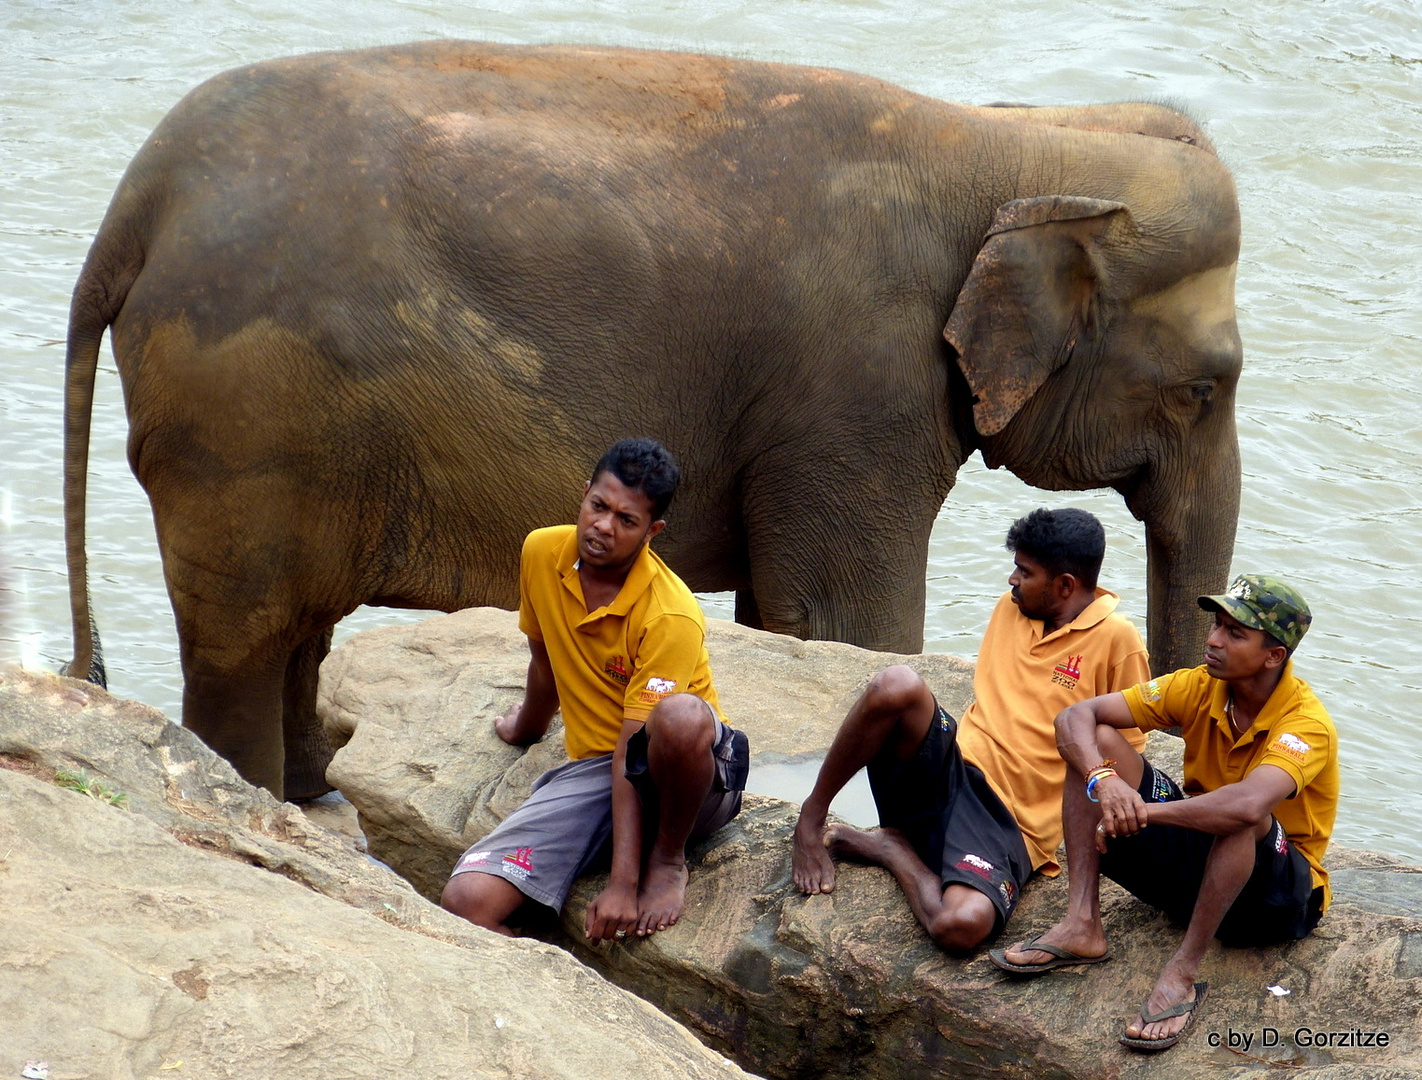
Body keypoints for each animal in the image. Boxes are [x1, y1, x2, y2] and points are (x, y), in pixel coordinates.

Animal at [66, 40, 1245, 802]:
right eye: (1207, 387)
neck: (1019, 148)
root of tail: (134, 205)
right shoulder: (857, 387)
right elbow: (844, 623)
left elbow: (787, 614)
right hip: (243, 416)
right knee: (246, 635)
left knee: (298, 623)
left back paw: (319, 786)